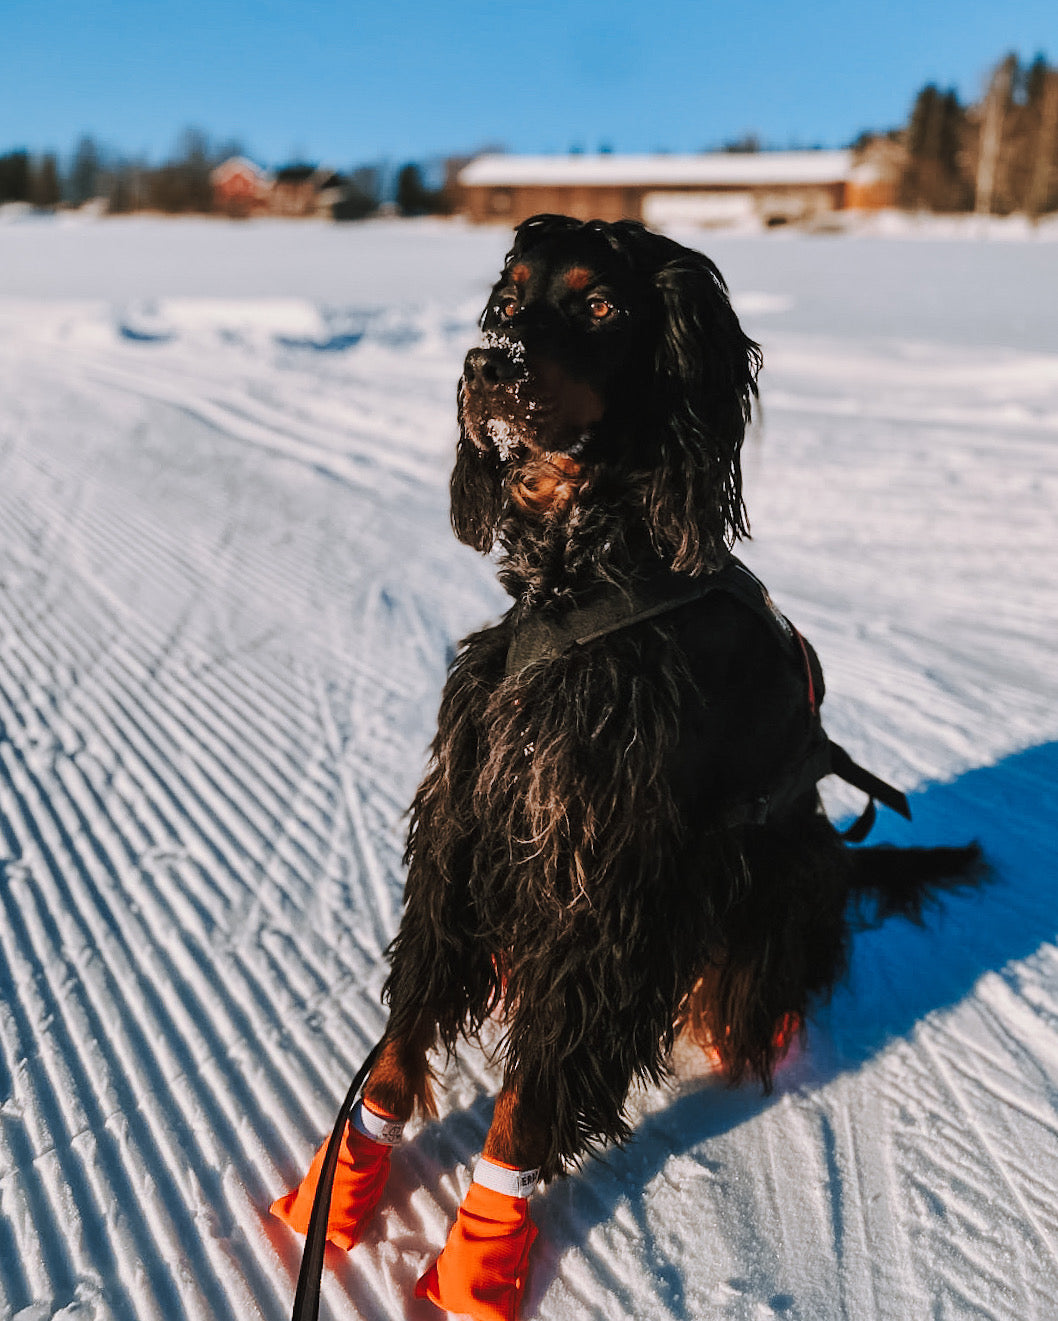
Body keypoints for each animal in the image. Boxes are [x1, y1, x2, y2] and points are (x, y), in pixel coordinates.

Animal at [272, 211, 982, 1315]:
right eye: (508, 298)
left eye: (602, 305)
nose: (489, 365)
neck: (583, 581)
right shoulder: (468, 821)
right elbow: (399, 1041)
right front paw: (336, 1191)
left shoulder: (606, 882)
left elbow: (524, 1103)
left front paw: (481, 1253)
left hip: (767, 884)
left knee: (750, 991)